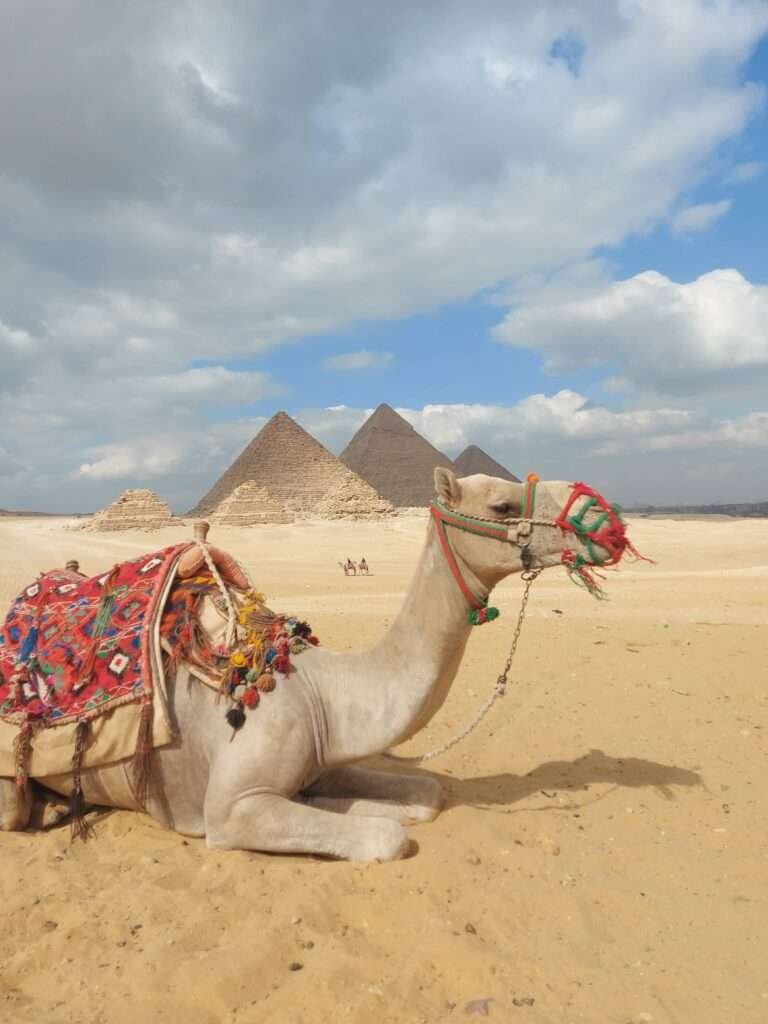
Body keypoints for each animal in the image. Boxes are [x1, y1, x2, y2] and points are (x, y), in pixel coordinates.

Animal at [0, 473, 638, 864]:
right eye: (501, 506)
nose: (606, 522)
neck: (321, 688)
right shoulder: (230, 810)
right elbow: (387, 836)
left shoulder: (324, 756)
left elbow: (424, 794)